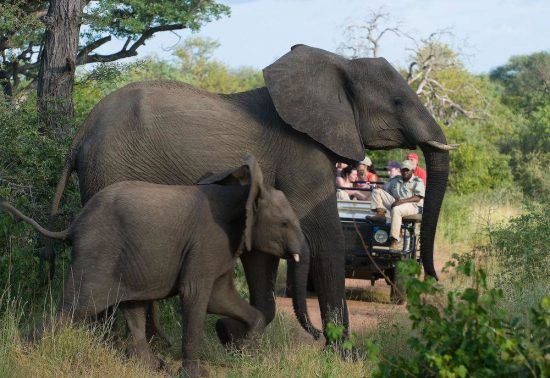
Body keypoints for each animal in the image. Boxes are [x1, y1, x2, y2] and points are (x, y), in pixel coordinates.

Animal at [2, 155, 314, 376]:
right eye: (284, 223)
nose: (320, 337)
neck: (244, 192)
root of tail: (74, 225)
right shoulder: (207, 240)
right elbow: (195, 295)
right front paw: (197, 374)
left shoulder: (220, 247)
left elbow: (218, 297)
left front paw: (248, 348)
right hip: (97, 255)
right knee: (73, 308)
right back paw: (20, 353)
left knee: (132, 308)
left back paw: (152, 366)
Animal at [46, 45, 452, 342]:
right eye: (398, 103)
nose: (434, 277)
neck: (337, 64)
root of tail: (80, 134)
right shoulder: (302, 156)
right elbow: (326, 240)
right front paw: (344, 353)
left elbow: (262, 256)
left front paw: (232, 337)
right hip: (110, 168)